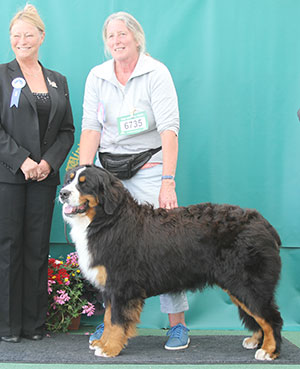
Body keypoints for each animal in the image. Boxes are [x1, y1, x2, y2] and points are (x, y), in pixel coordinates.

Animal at [59, 165, 284, 360]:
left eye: (84, 184)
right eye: (69, 179)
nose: (62, 193)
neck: (108, 221)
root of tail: (262, 222)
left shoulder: (122, 286)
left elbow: (116, 321)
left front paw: (111, 348)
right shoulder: (110, 287)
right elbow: (108, 318)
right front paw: (103, 343)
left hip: (246, 284)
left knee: (270, 318)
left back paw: (268, 350)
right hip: (239, 286)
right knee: (260, 316)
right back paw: (255, 341)